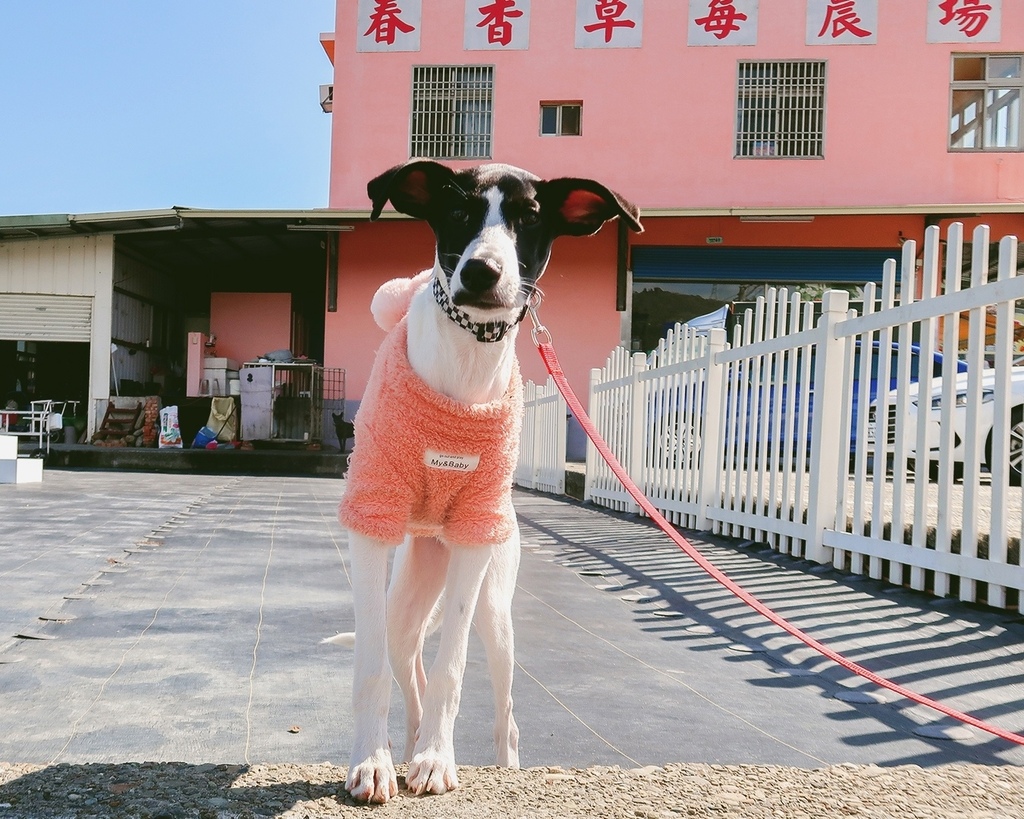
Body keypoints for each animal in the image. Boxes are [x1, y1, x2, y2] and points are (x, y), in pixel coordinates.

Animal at [335, 162, 638, 802]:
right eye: (457, 212)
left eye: (529, 219)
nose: (481, 271)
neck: (467, 356)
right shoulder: (372, 515)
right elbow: (371, 670)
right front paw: (372, 761)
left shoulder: (476, 532)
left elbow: (452, 667)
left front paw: (437, 760)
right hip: (405, 604)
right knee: (409, 668)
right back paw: (406, 744)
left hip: (495, 606)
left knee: (502, 710)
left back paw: (494, 764)